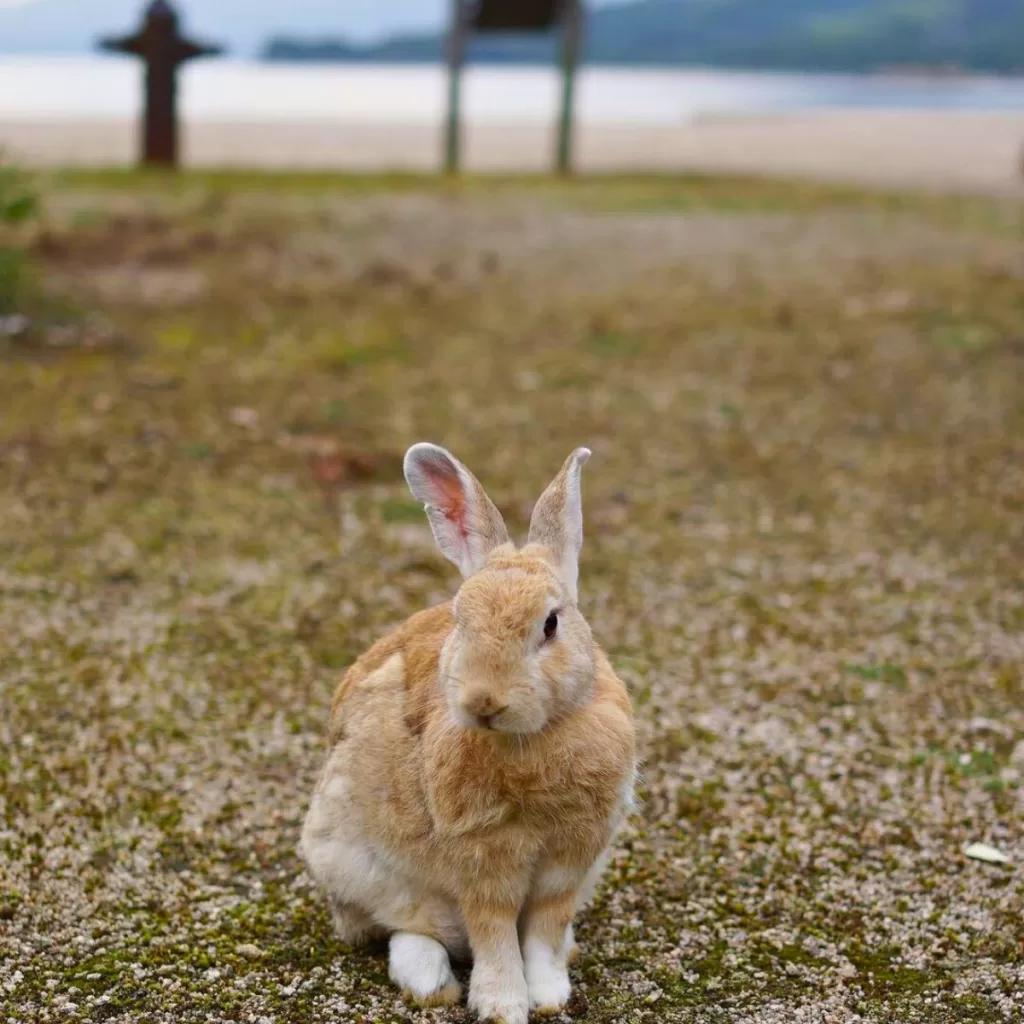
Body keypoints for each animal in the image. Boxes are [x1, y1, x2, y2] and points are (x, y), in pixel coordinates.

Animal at [299, 442, 630, 1024]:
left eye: (551, 624)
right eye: (459, 619)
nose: (484, 700)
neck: (532, 737)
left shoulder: (572, 859)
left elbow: (544, 929)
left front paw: (549, 996)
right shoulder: (481, 857)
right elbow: (493, 930)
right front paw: (503, 1006)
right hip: (358, 866)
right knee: (406, 929)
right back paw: (432, 982)